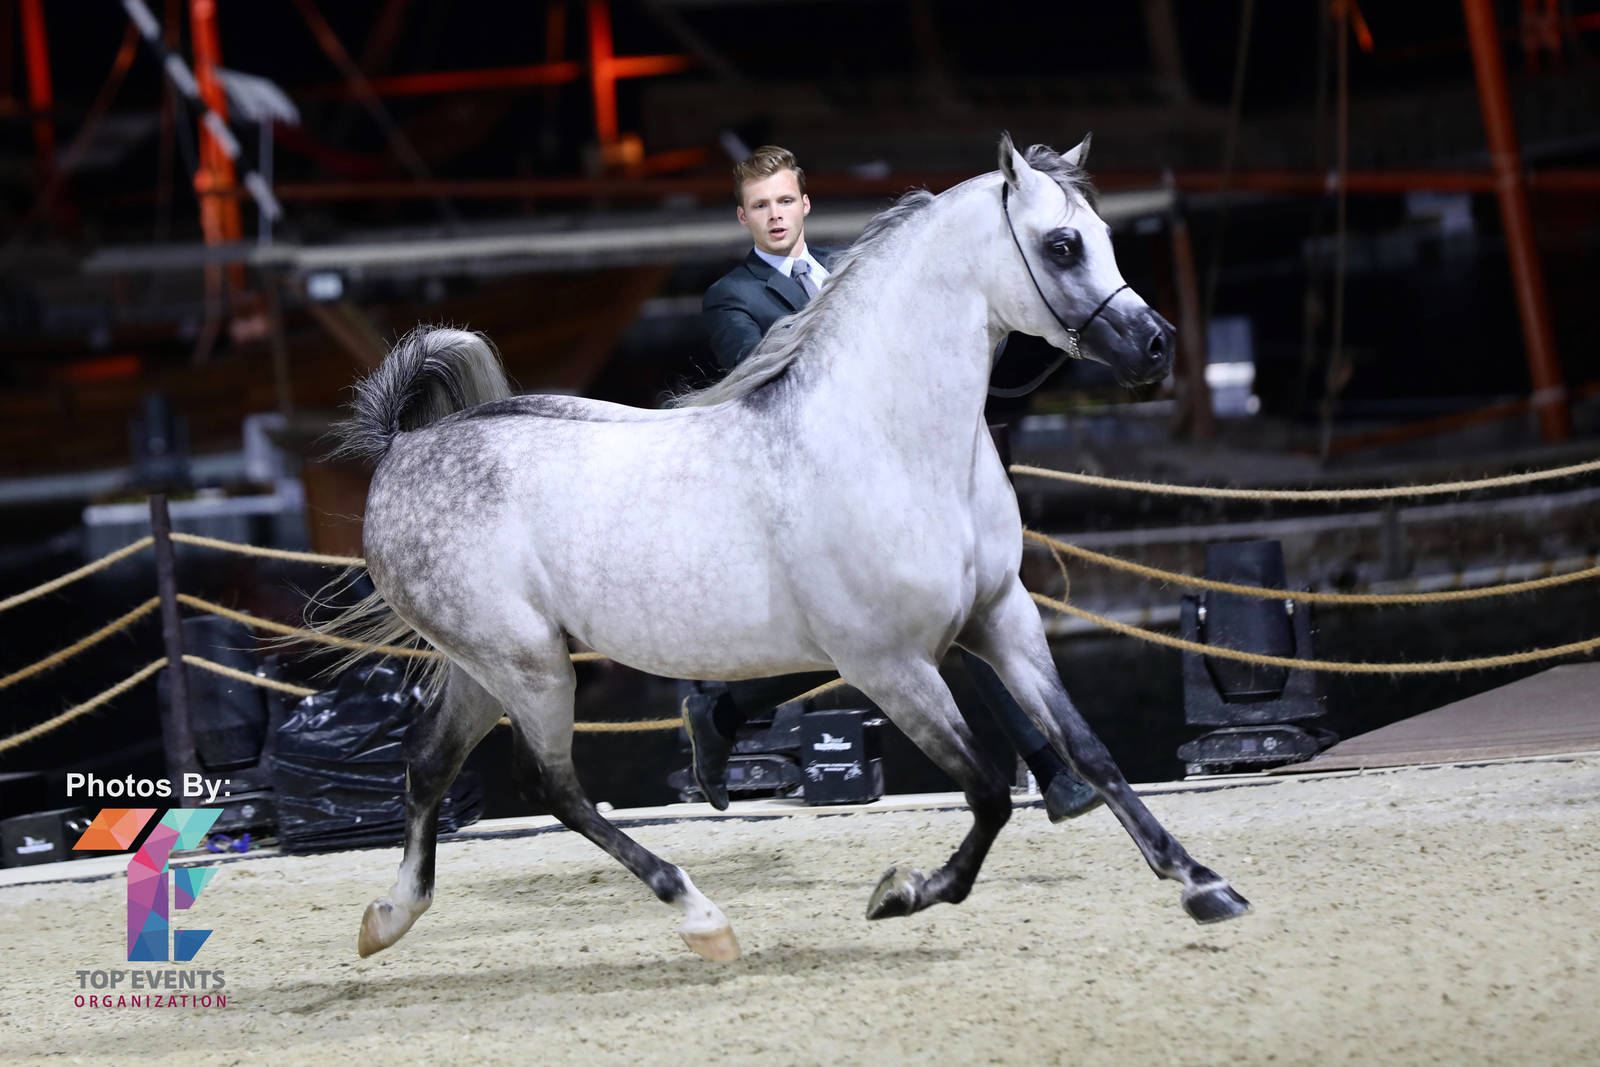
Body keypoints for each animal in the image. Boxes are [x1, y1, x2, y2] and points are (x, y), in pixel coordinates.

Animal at [334, 133, 1250, 963]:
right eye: (1062, 245)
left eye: (1102, 232)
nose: (1157, 344)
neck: (890, 440)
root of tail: (403, 450)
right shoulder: (891, 665)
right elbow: (988, 789)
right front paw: (901, 893)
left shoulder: (1002, 618)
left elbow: (1090, 751)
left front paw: (1206, 885)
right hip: (528, 666)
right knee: (548, 784)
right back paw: (702, 916)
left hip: (486, 667)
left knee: (428, 762)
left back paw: (388, 918)